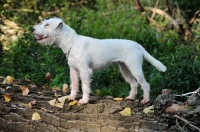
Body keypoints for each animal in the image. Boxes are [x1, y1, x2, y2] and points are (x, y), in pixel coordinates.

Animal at [32, 17, 166, 104]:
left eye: (47, 25)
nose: (32, 29)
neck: (72, 43)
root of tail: (137, 45)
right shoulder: (73, 70)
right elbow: (74, 84)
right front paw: (71, 97)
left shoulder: (84, 71)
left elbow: (85, 86)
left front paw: (84, 100)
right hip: (125, 69)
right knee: (133, 83)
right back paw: (130, 97)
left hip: (135, 68)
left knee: (145, 84)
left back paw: (145, 100)